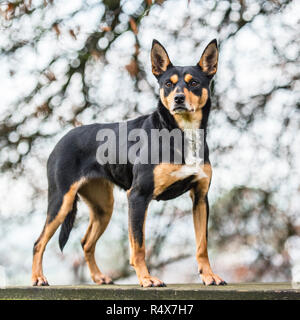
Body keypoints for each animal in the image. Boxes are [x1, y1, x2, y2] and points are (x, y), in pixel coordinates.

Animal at [32, 39, 225, 288]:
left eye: (194, 83)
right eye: (168, 84)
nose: (178, 99)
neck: (181, 133)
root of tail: (61, 140)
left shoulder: (200, 198)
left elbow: (202, 245)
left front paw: (209, 275)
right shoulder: (138, 196)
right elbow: (139, 245)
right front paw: (146, 279)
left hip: (103, 206)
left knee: (86, 242)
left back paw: (99, 277)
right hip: (61, 200)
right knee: (39, 242)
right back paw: (37, 277)